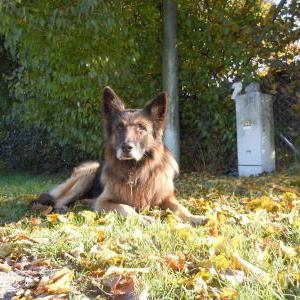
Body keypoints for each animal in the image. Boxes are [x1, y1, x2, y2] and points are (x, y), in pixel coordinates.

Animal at [34, 86, 207, 225]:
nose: (126, 148)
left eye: (141, 128)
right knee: (59, 200)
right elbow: (126, 208)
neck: (135, 170)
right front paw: (144, 218)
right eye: (119, 127)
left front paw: (194, 217)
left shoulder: (166, 198)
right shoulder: (104, 202)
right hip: (87, 174)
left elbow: (180, 208)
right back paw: (63, 208)